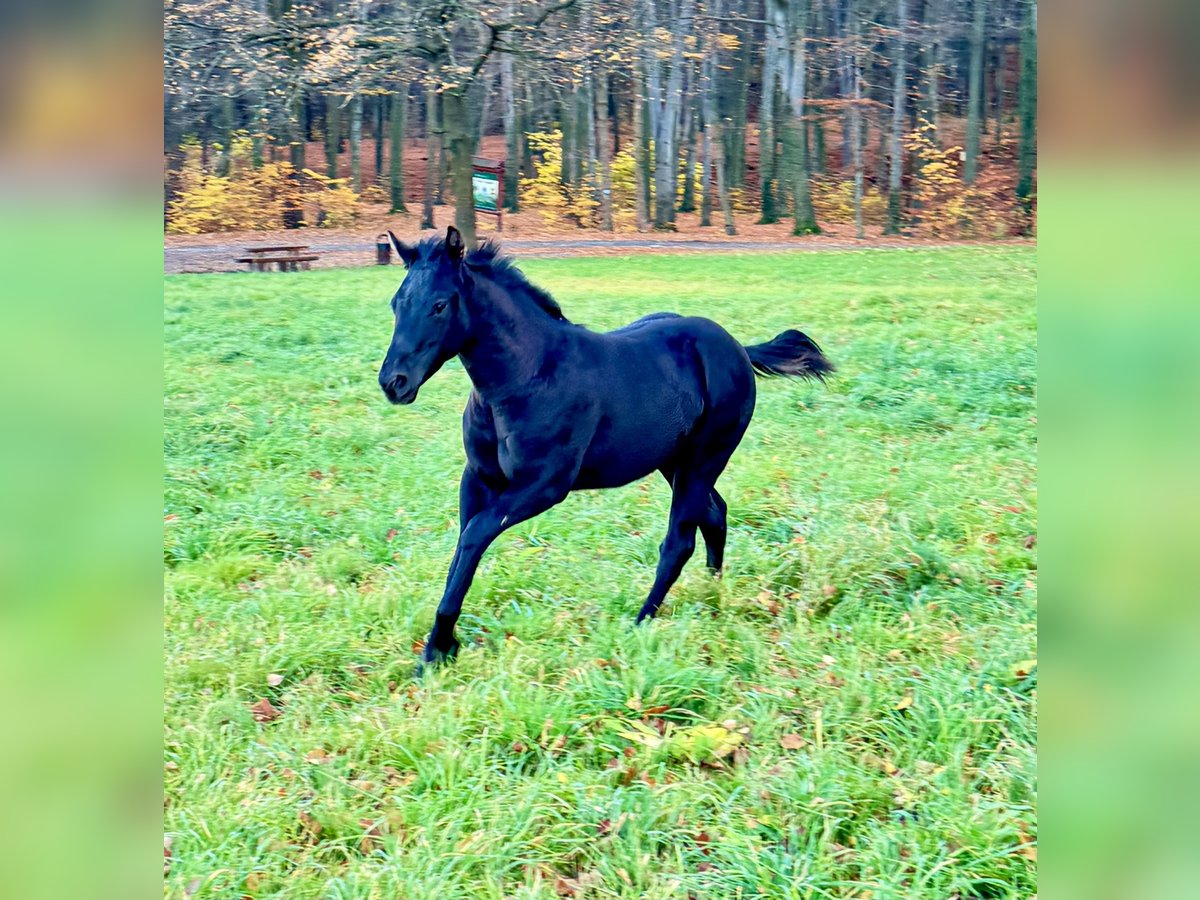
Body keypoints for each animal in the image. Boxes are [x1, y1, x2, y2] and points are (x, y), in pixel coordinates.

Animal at [378, 226, 833, 670]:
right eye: (397, 303)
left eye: (439, 305)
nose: (393, 382)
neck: (526, 376)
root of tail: (738, 347)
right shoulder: (478, 478)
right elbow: (462, 549)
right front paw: (440, 646)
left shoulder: (544, 486)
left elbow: (474, 537)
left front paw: (437, 649)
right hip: (674, 462)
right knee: (715, 514)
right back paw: (711, 596)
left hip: (704, 459)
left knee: (680, 540)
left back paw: (642, 621)